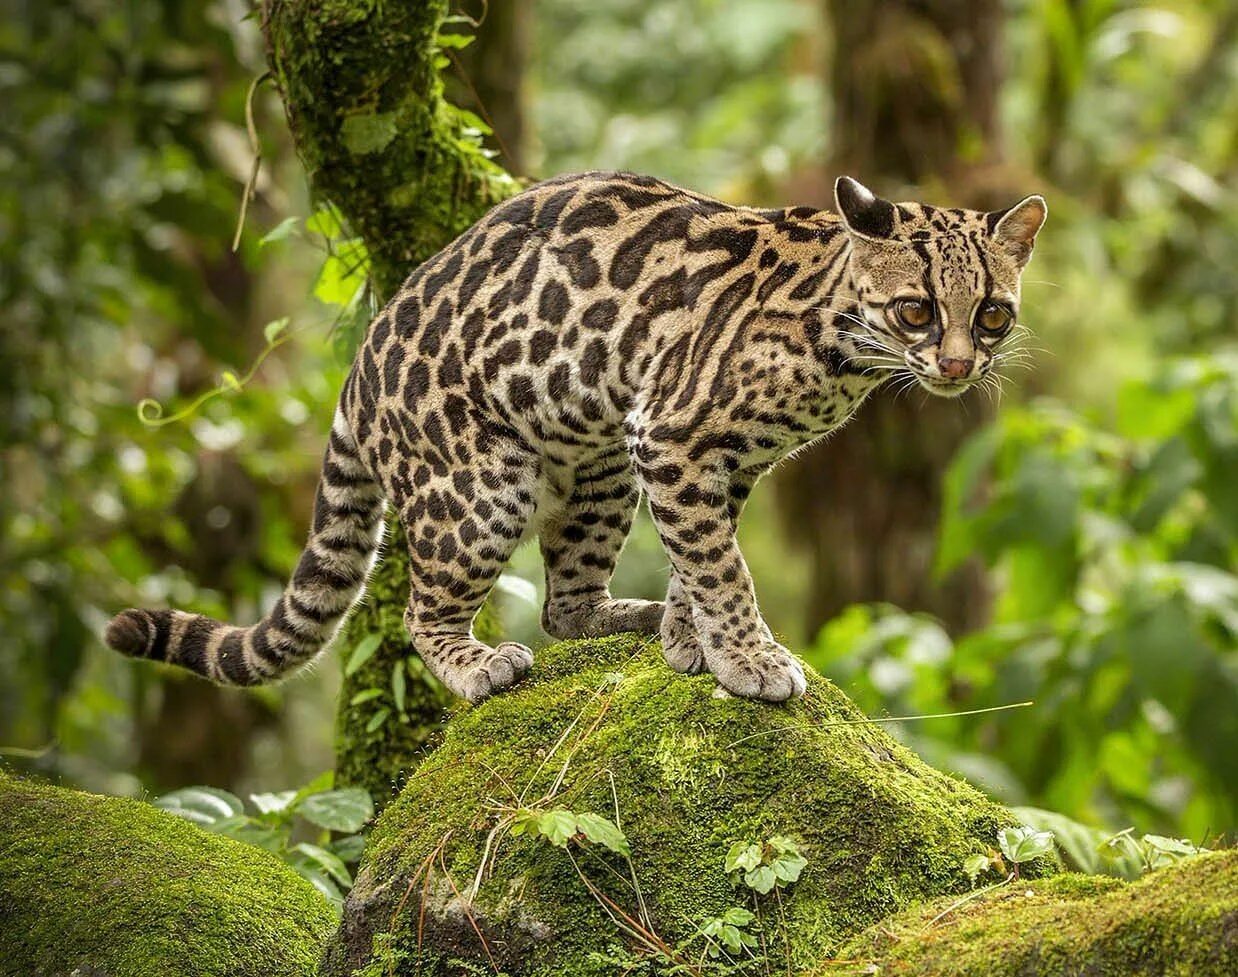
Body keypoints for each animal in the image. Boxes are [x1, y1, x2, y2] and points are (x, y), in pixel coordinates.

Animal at [111, 169, 1049, 703]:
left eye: (992, 313)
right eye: (917, 309)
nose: (959, 366)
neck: (843, 339)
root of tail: (359, 369)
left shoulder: (719, 459)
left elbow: (702, 556)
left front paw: (689, 638)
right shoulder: (674, 435)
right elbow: (722, 564)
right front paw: (746, 657)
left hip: (599, 468)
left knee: (566, 607)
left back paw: (628, 616)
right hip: (482, 484)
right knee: (421, 609)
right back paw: (474, 663)